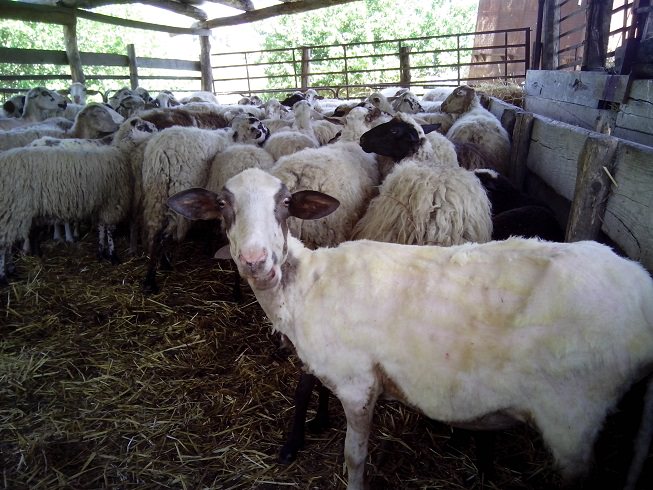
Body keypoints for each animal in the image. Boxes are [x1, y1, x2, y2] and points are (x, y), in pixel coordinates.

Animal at [169, 166, 653, 490]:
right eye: (224, 205)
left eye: (285, 204)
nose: (255, 261)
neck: (306, 284)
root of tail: (641, 286)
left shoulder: (358, 384)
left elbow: (354, 457)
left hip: (574, 415)